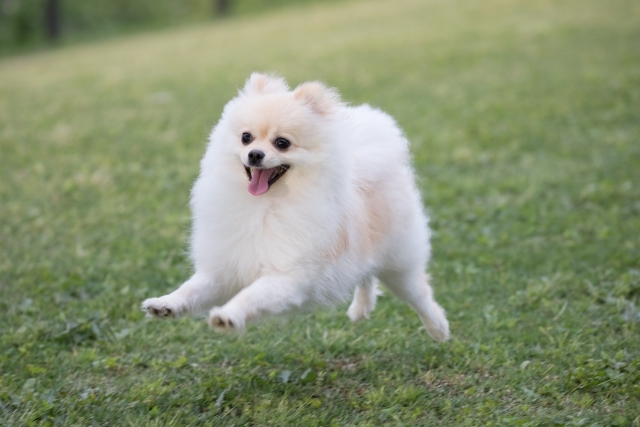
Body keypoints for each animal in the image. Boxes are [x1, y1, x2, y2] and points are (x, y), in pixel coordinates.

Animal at [140, 72, 450, 342]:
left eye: (282, 143)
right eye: (246, 137)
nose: (255, 154)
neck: (263, 206)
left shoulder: (289, 276)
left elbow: (252, 295)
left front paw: (228, 316)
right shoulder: (223, 269)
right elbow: (192, 288)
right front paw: (166, 304)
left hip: (399, 263)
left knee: (419, 293)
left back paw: (438, 328)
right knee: (367, 276)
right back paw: (361, 310)